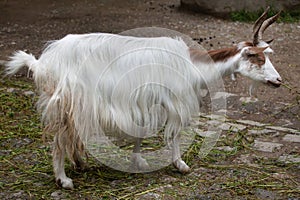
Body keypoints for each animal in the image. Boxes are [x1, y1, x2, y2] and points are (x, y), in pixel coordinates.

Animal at [5, 7, 282, 188]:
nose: (278, 81)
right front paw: (181, 165)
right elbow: (176, 134)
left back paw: (79, 163)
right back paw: (63, 179)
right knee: (58, 137)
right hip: (67, 99)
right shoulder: (173, 101)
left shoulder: (145, 102)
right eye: (257, 57)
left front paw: (139, 161)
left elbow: (139, 131)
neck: (192, 65)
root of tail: (43, 62)